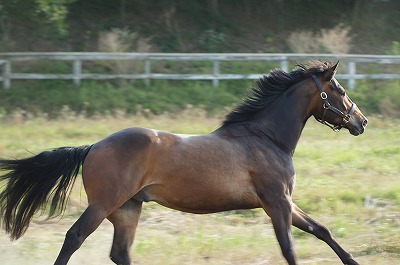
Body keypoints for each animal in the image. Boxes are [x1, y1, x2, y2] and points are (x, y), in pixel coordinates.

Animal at [0, 60, 368, 264]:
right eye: (339, 90)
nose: (361, 122)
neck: (266, 137)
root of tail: (92, 147)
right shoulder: (276, 202)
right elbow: (290, 249)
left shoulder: (285, 202)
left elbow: (320, 230)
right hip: (103, 205)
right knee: (74, 238)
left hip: (127, 209)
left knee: (120, 253)